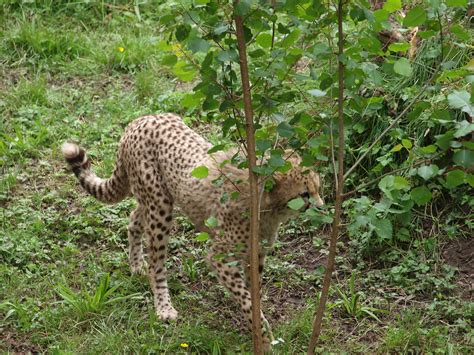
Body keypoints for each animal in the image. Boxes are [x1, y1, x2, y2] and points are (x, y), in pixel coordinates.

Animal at [62, 113, 322, 348]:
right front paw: (263, 335)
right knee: (156, 261)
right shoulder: (219, 256)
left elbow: (253, 292)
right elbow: (247, 299)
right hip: (160, 204)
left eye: (318, 188)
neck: (266, 206)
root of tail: (140, 120)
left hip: (151, 200)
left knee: (134, 218)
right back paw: (163, 306)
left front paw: (260, 329)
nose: (322, 207)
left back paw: (136, 264)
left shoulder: (255, 254)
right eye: (305, 194)